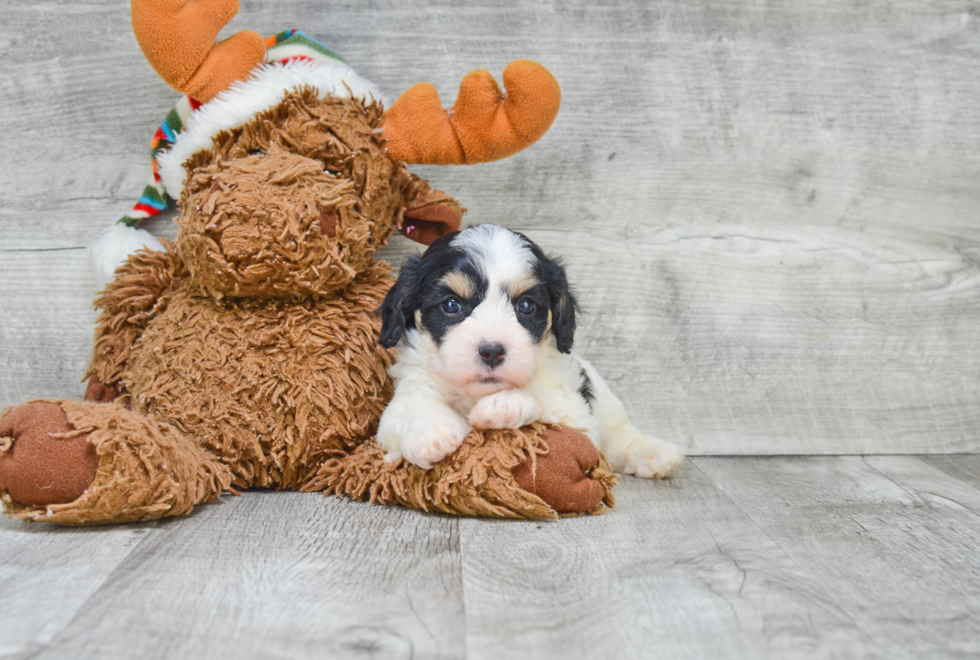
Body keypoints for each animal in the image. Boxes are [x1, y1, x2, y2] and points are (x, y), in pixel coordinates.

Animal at [374, 224, 680, 476]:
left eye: (526, 306)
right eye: (451, 305)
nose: (492, 351)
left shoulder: (577, 418)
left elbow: (544, 398)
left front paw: (505, 404)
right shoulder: (402, 400)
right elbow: (413, 405)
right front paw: (431, 433)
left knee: (620, 438)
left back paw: (655, 454)